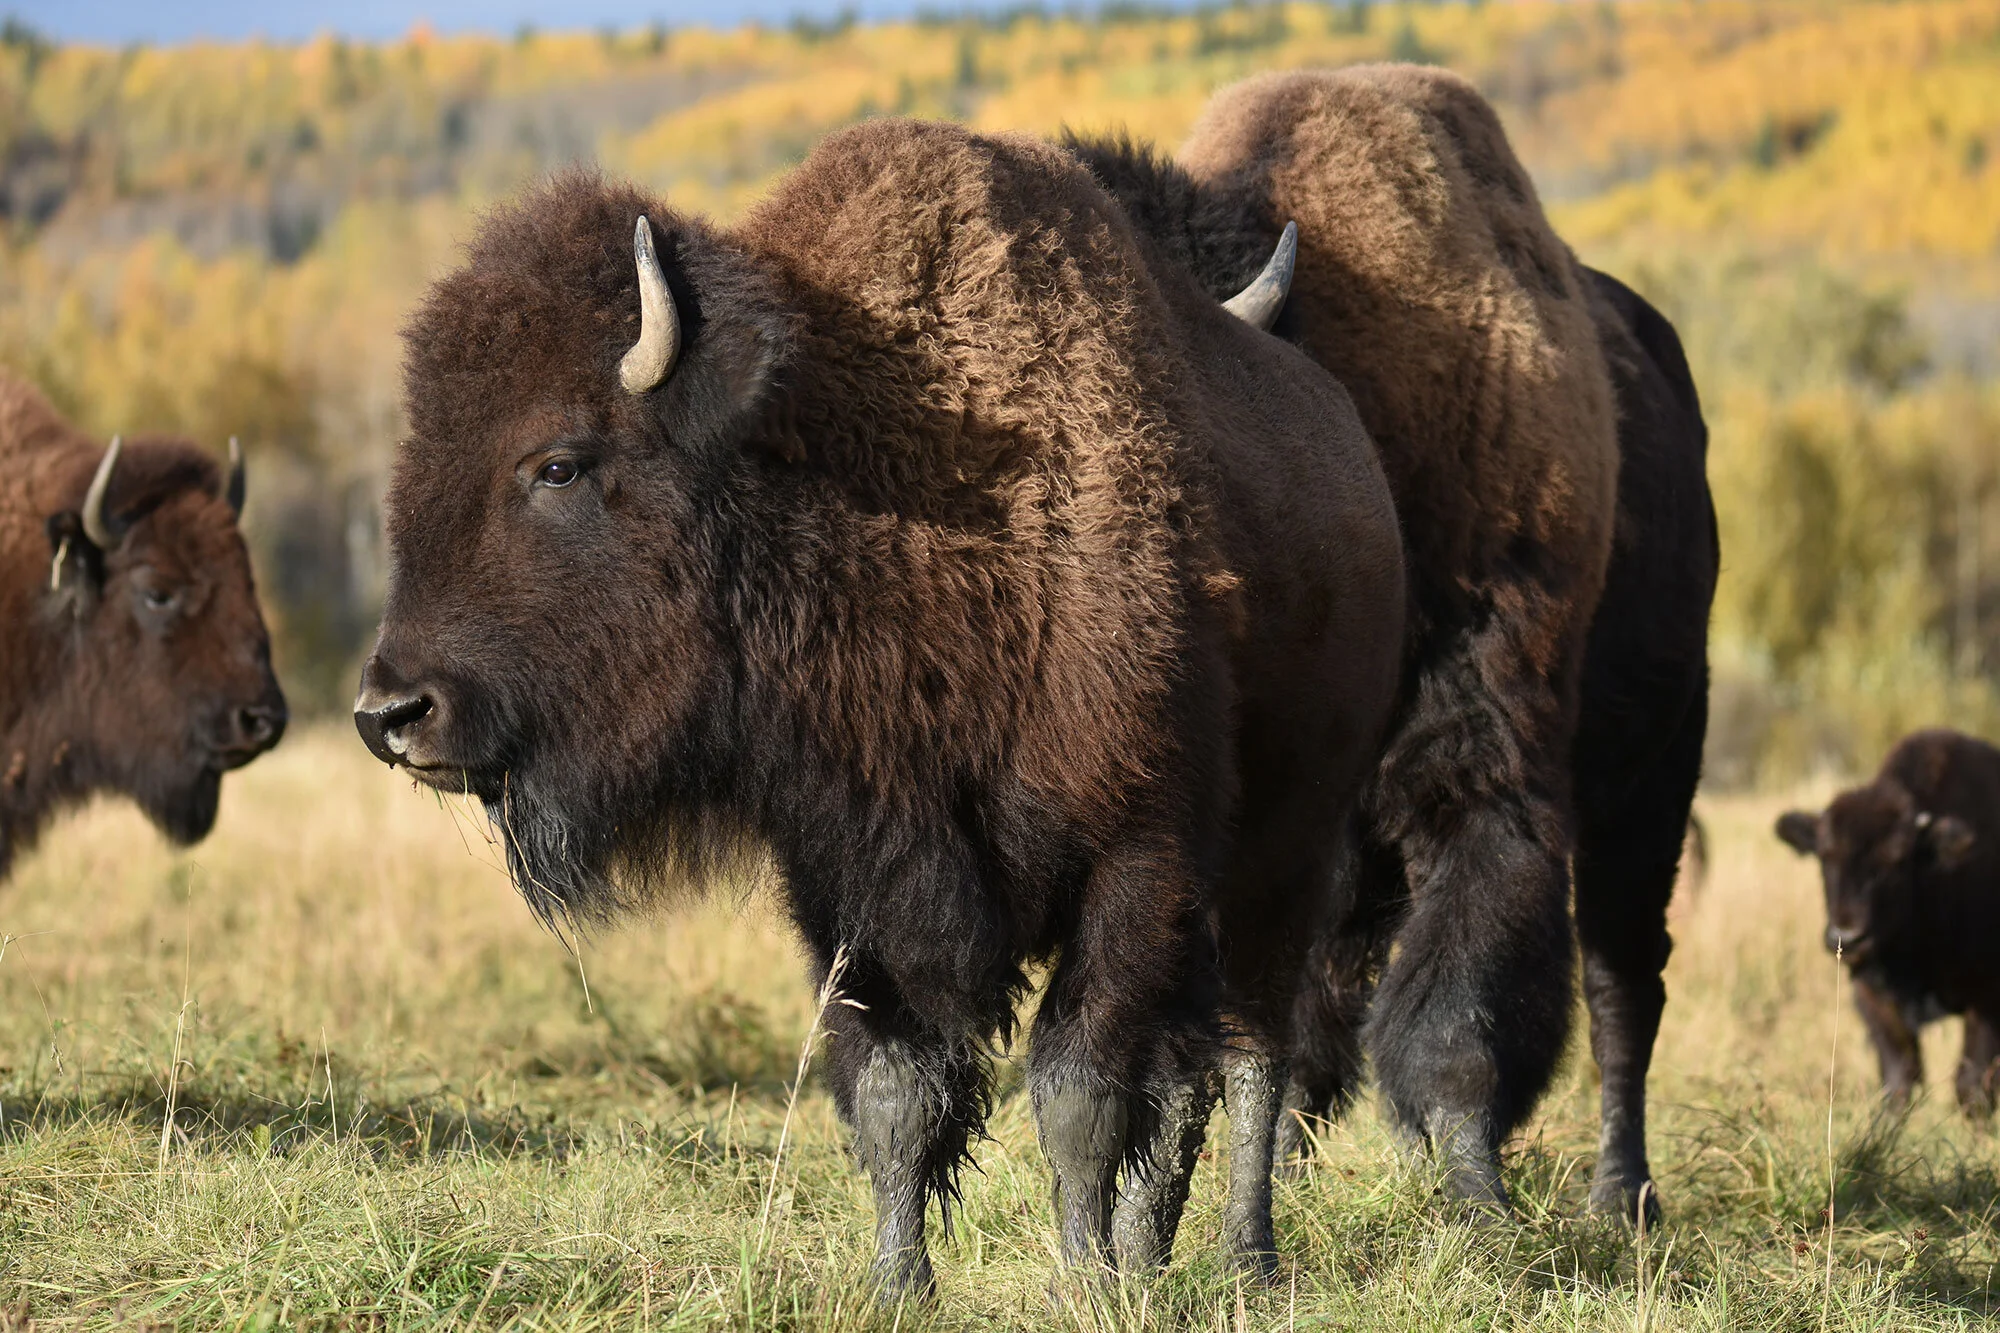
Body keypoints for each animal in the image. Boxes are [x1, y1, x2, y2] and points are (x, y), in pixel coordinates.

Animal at [354, 122, 1406, 1290]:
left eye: (558, 463)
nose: (392, 711)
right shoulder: (851, 879)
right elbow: (898, 1093)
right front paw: (902, 1280)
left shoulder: (1135, 858)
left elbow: (1079, 1090)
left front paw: (1082, 1280)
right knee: (1191, 1072)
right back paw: (1152, 1259)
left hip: (1285, 854)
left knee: (1254, 1049)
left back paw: (1244, 1258)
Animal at [1070, 64, 1714, 1222]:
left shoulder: (1478, 750)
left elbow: (1461, 986)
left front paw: (1478, 1197)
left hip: (1653, 765)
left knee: (1619, 978)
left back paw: (1619, 1193)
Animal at [1778, 729, 2000, 1118]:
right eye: (1824, 855)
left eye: (1895, 861)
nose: (1847, 937)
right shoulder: (1872, 997)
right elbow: (1899, 1078)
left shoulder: (1987, 998)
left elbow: (1972, 1086)